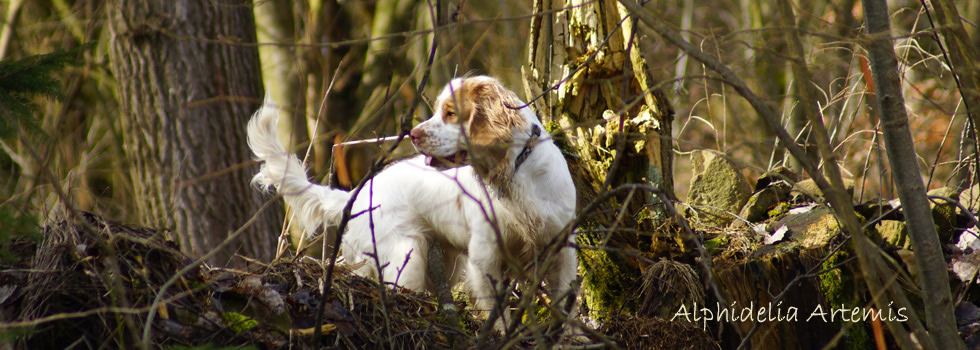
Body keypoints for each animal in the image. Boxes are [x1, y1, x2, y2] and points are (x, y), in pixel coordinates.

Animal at [249, 75, 580, 324]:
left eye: (450, 113)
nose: (413, 134)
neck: (514, 174)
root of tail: (359, 194)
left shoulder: (562, 251)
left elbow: (563, 307)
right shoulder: (485, 256)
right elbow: (496, 315)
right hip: (406, 254)